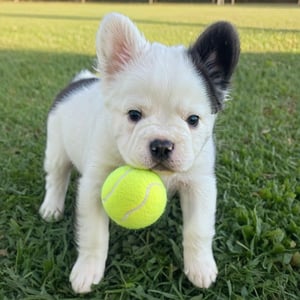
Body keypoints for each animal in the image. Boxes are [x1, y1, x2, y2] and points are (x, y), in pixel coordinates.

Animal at [39, 13, 239, 292]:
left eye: (193, 120)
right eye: (134, 115)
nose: (162, 145)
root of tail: (79, 82)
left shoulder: (199, 184)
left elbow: (197, 229)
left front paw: (200, 266)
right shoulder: (95, 186)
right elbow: (94, 234)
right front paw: (87, 270)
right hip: (56, 147)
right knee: (57, 177)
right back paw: (51, 207)